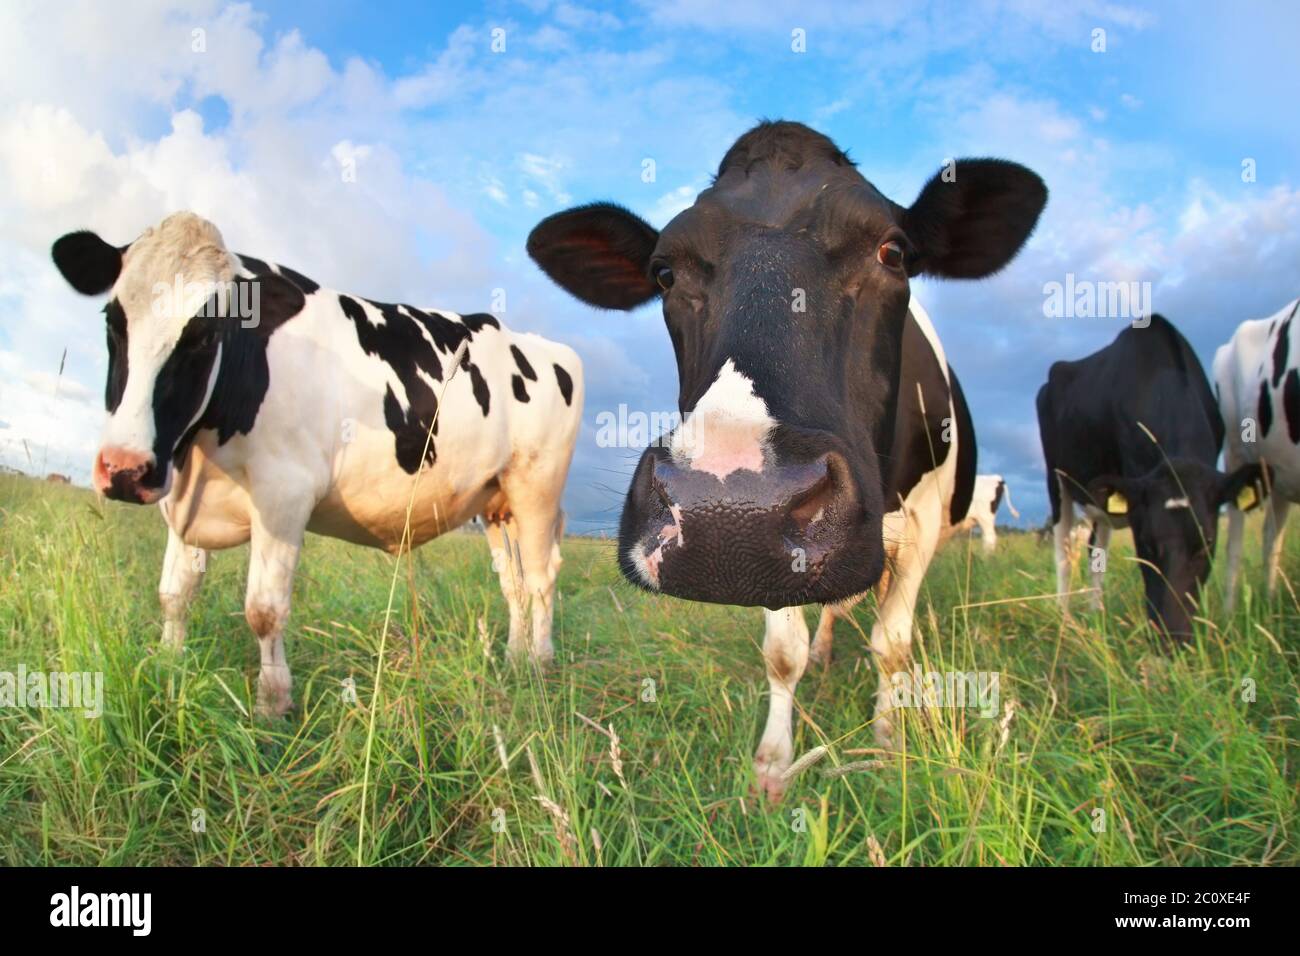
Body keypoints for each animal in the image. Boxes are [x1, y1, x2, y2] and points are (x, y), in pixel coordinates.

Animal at [50, 210, 579, 717]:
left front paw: (272, 705)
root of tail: (541, 344)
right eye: (112, 319)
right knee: (513, 583)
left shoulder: (284, 493)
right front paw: (169, 665)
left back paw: (540, 664)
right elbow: (174, 594)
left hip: (537, 488)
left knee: (541, 578)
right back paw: (513, 659)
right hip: (496, 502)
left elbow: (264, 609)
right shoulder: (185, 504)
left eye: (203, 334)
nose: (124, 469)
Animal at [522, 119, 1040, 801]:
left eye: (893, 252)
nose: (726, 506)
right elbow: (782, 653)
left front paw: (887, 740)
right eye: (664, 273)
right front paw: (773, 765)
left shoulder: (925, 519)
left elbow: (892, 644)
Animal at [1029, 316, 1263, 642]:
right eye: (1145, 543)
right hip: (1057, 479)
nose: (1172, 637)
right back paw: (1064, 618)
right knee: (1063, 549)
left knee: (1095, 549)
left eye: (1207, 542)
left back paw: (1096, 613)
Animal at [1211, 299, 1294, 613]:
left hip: (1281, 470)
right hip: (1236, 452)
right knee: (1235, 541)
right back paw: (1229, 614)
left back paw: (1271, 606)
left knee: (1272, 537)